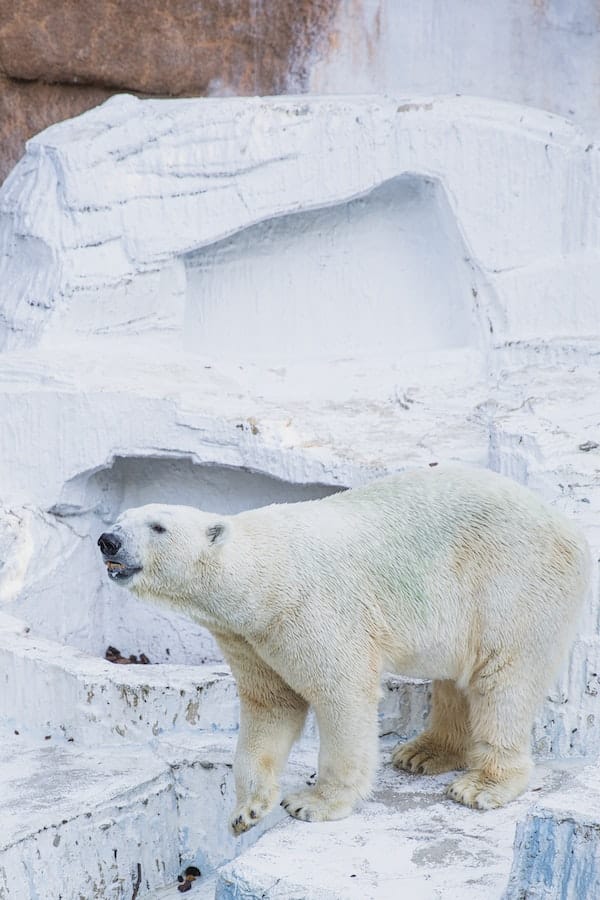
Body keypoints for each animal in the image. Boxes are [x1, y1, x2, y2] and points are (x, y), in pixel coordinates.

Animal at [97, 465, 589, 834]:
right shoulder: (249, 638)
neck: (267, 578)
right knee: (454, 679)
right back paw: (423, 753)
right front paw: (248, 810)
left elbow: (341, 695)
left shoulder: (310, 611)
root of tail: (569, 527)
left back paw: (481, 784)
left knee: (503, 680)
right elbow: (270, 706)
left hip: (511, 583)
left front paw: (313, 803)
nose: (108, 540)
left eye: (158, 526)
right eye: (121, 518)